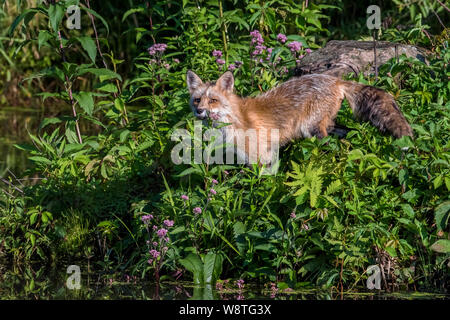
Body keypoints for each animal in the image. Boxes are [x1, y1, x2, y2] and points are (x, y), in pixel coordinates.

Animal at [185, 70, 414, 165]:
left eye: (213, 100)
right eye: (197, 100)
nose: (199, 111)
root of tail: (335, 80)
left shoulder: (262, 154)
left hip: (311, 129)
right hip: (328, 126)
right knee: (346, 134)